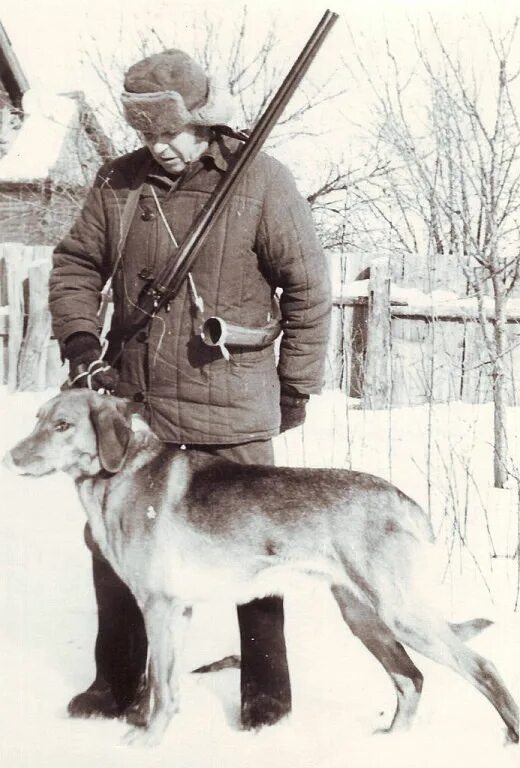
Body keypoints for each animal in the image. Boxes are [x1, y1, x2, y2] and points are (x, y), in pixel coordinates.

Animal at [3, 388, 516, 748]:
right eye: (38, 420)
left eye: (63, 425)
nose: (11, 457)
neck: (121, 472)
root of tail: (399, 497)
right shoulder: (175, 612)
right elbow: (163, 685)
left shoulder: (160, 607)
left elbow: (161, 690)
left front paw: (146, 742)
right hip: (363, 618)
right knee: (411, 679)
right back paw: (392, 743)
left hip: (400, 614)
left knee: (482, 666)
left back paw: (508, 738)